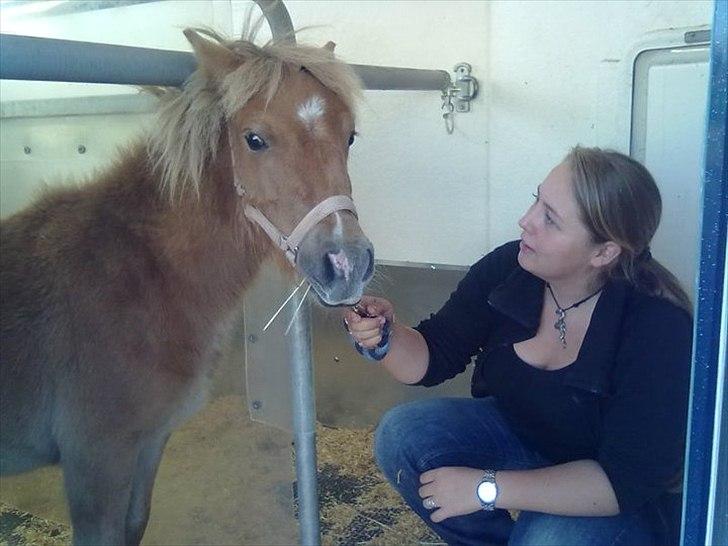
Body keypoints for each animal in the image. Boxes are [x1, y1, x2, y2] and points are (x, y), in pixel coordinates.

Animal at [0, 27, 372, 540]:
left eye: (349, 136)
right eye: (254, 139)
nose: (347, 263)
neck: (141, 275)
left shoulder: (149, 444)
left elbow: (135, 525)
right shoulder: (95, 460)